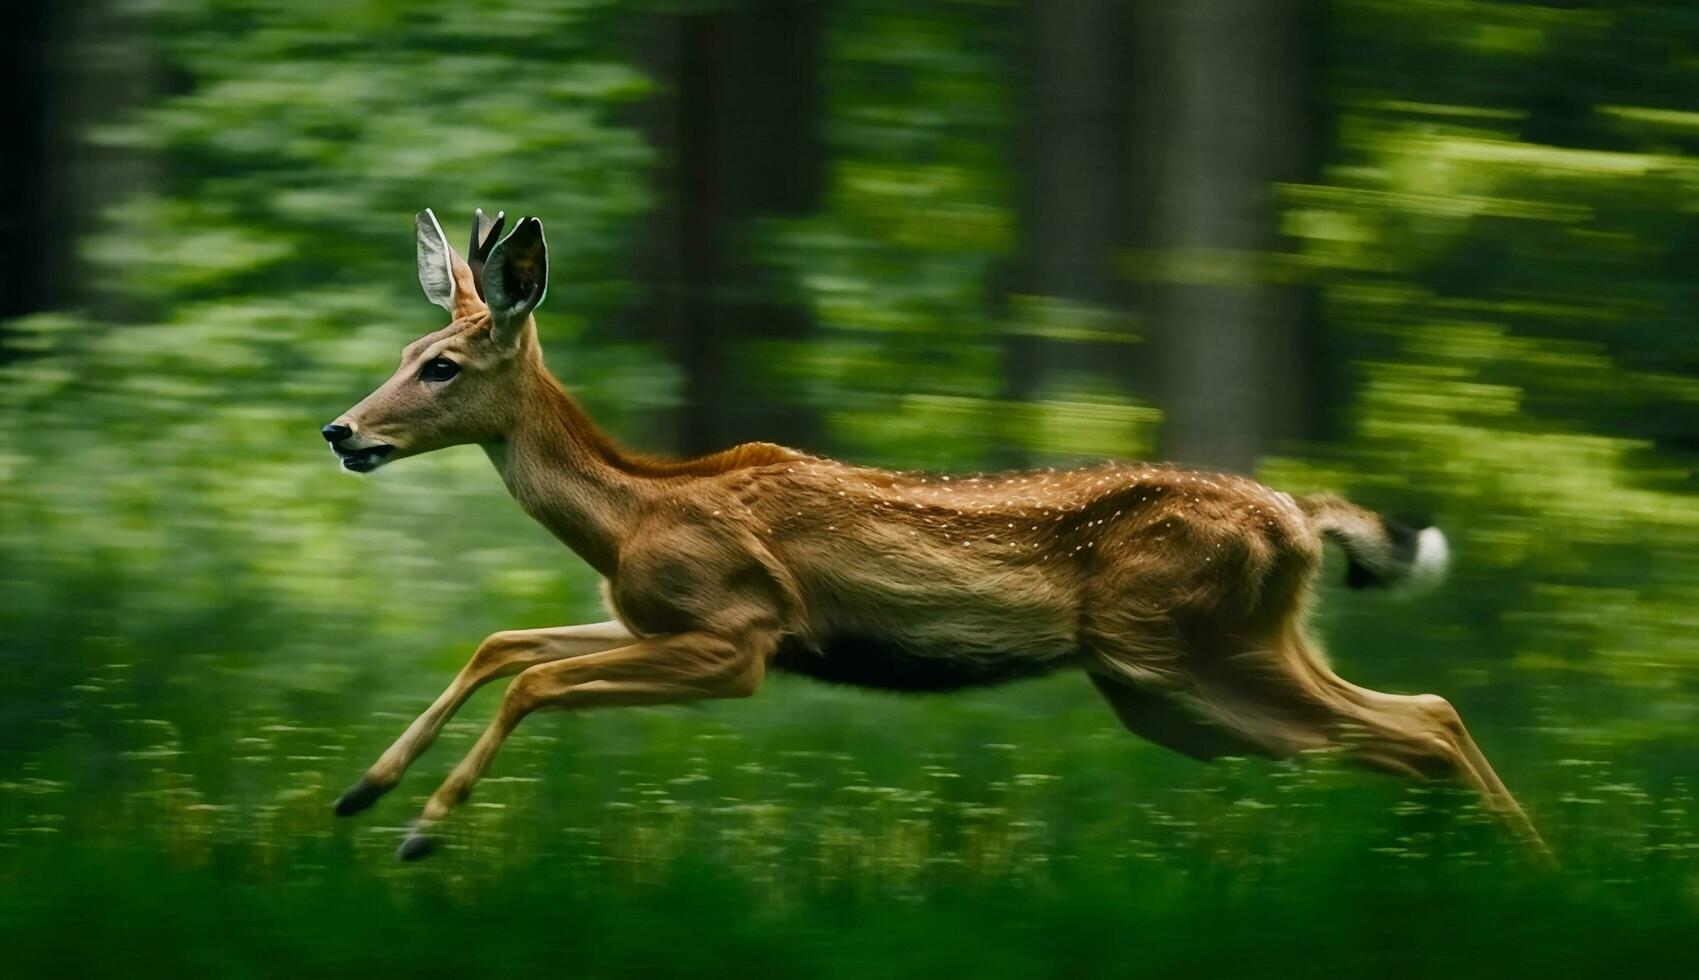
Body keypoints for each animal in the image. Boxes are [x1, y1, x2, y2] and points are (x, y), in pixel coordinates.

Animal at [321, 208, 1556, 862]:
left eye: (442, 365)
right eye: (405, 348)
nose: (342, 431)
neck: (639, 510)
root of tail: (1296, 516)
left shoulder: (742, 636)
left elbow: (535, 679)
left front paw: (423, 829)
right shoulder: (651, 618)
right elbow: (504, 646)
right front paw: (361, 792)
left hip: (1180, 652)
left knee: (1413, 727)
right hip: (1211, 664)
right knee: (1423, 714)